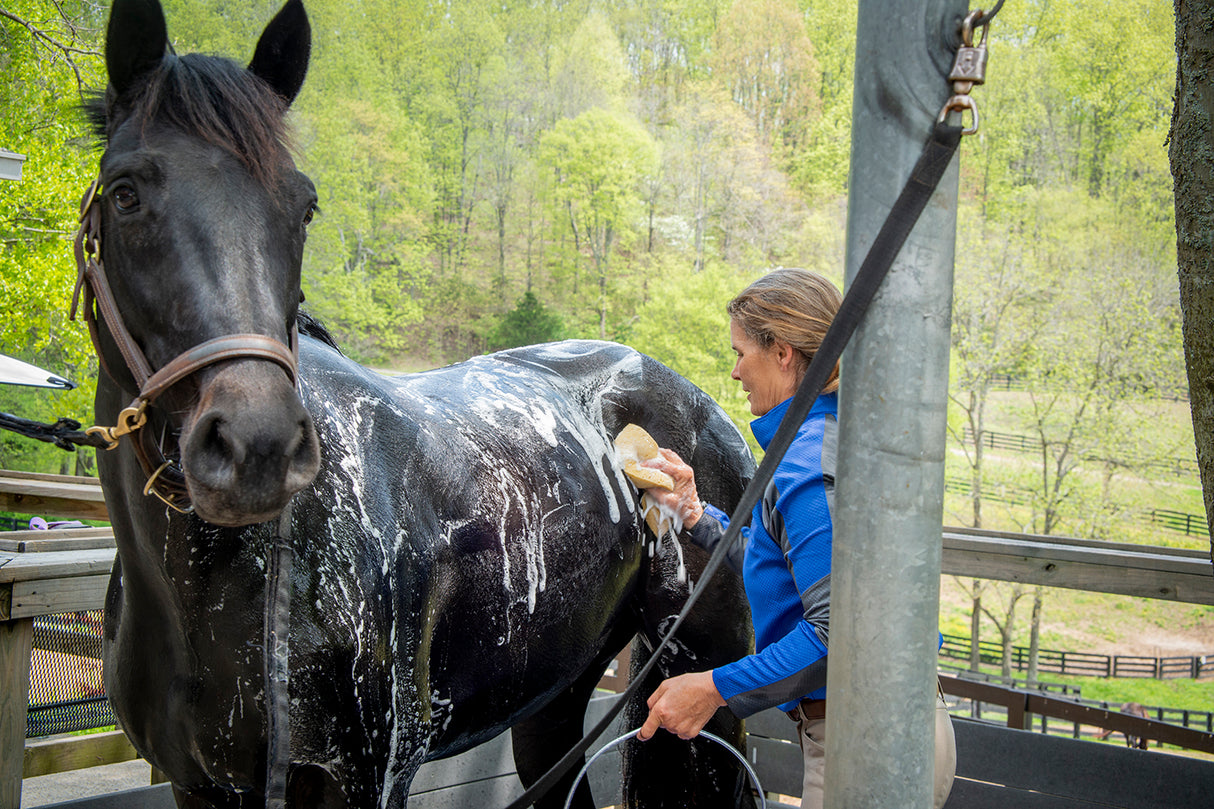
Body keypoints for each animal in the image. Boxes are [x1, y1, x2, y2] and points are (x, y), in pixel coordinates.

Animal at [80, 3, 752, 801]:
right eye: (125, 191)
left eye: (304, 206)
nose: (257, 445)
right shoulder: (199, 785)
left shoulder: (365, 781)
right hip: (552, 700)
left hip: (700, 688)